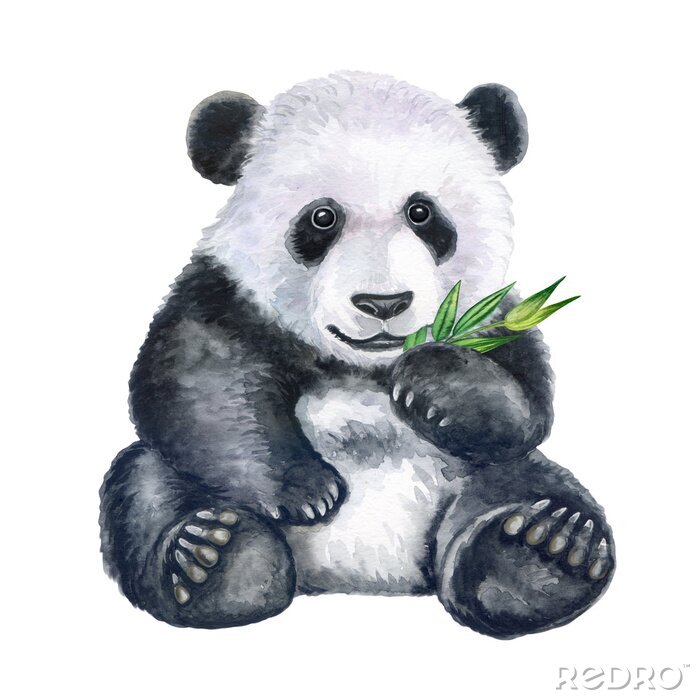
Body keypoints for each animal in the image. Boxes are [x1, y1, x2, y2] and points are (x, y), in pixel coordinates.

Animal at [100, 71, 615, 638]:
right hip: (169, 489)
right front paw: (305, 491)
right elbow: (199, 388)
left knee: (527, 481)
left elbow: (526, 401)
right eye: (322, 218)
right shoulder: (224, 294)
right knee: (144, 485)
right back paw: (214, 561)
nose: (383, 303)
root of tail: (363, 575)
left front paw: (436, 382)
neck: (362, 368)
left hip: (471, 480)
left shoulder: (489, 315)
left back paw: (542, 553)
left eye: (421, 213)